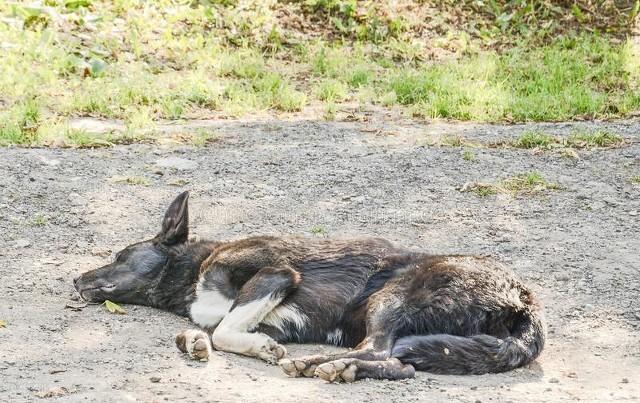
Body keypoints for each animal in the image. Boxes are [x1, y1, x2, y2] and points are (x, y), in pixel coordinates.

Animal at [74, 191, 544, 384]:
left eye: (119, 255)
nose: (76, 279)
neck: (192, 272)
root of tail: (524, 300)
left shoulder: (277, 274)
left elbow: (224, 330)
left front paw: (257, 349)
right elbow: (208, 330)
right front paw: (194, 342)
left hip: (392, 298)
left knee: (383, 354)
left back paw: (325, 364)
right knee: (398, 363)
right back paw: (339, 367)